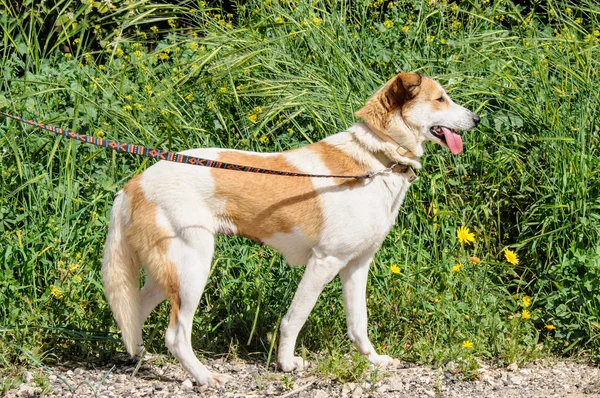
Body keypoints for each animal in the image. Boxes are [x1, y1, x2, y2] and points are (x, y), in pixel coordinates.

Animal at [101, 71, 480, 386]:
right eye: (440, 99)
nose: (476, 119)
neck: (376, 159)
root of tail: (133, 184)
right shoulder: (324, 262)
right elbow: (294, 318)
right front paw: (285, 364)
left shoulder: (357, 266)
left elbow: (359, 324)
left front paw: (373, 360)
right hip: (192, 266)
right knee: (176, 334)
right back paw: (205, 377)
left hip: (169, 272)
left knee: (133, 311)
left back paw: (142, 357)